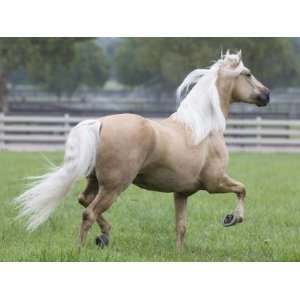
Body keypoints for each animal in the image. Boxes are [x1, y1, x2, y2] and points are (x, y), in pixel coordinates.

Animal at [15, 51, 270, 248]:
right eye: (248, 74)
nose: (266, 95)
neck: (203, 127)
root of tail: (100, 123)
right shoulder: (215, 182)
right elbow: (242, 189)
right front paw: (232, 218)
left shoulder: (182, 193)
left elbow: (181, 227)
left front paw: (179, 253)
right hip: (114, 186)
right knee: (89, 213)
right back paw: (81, 248)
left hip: (96, 182)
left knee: (84, 201)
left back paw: (104, 236)